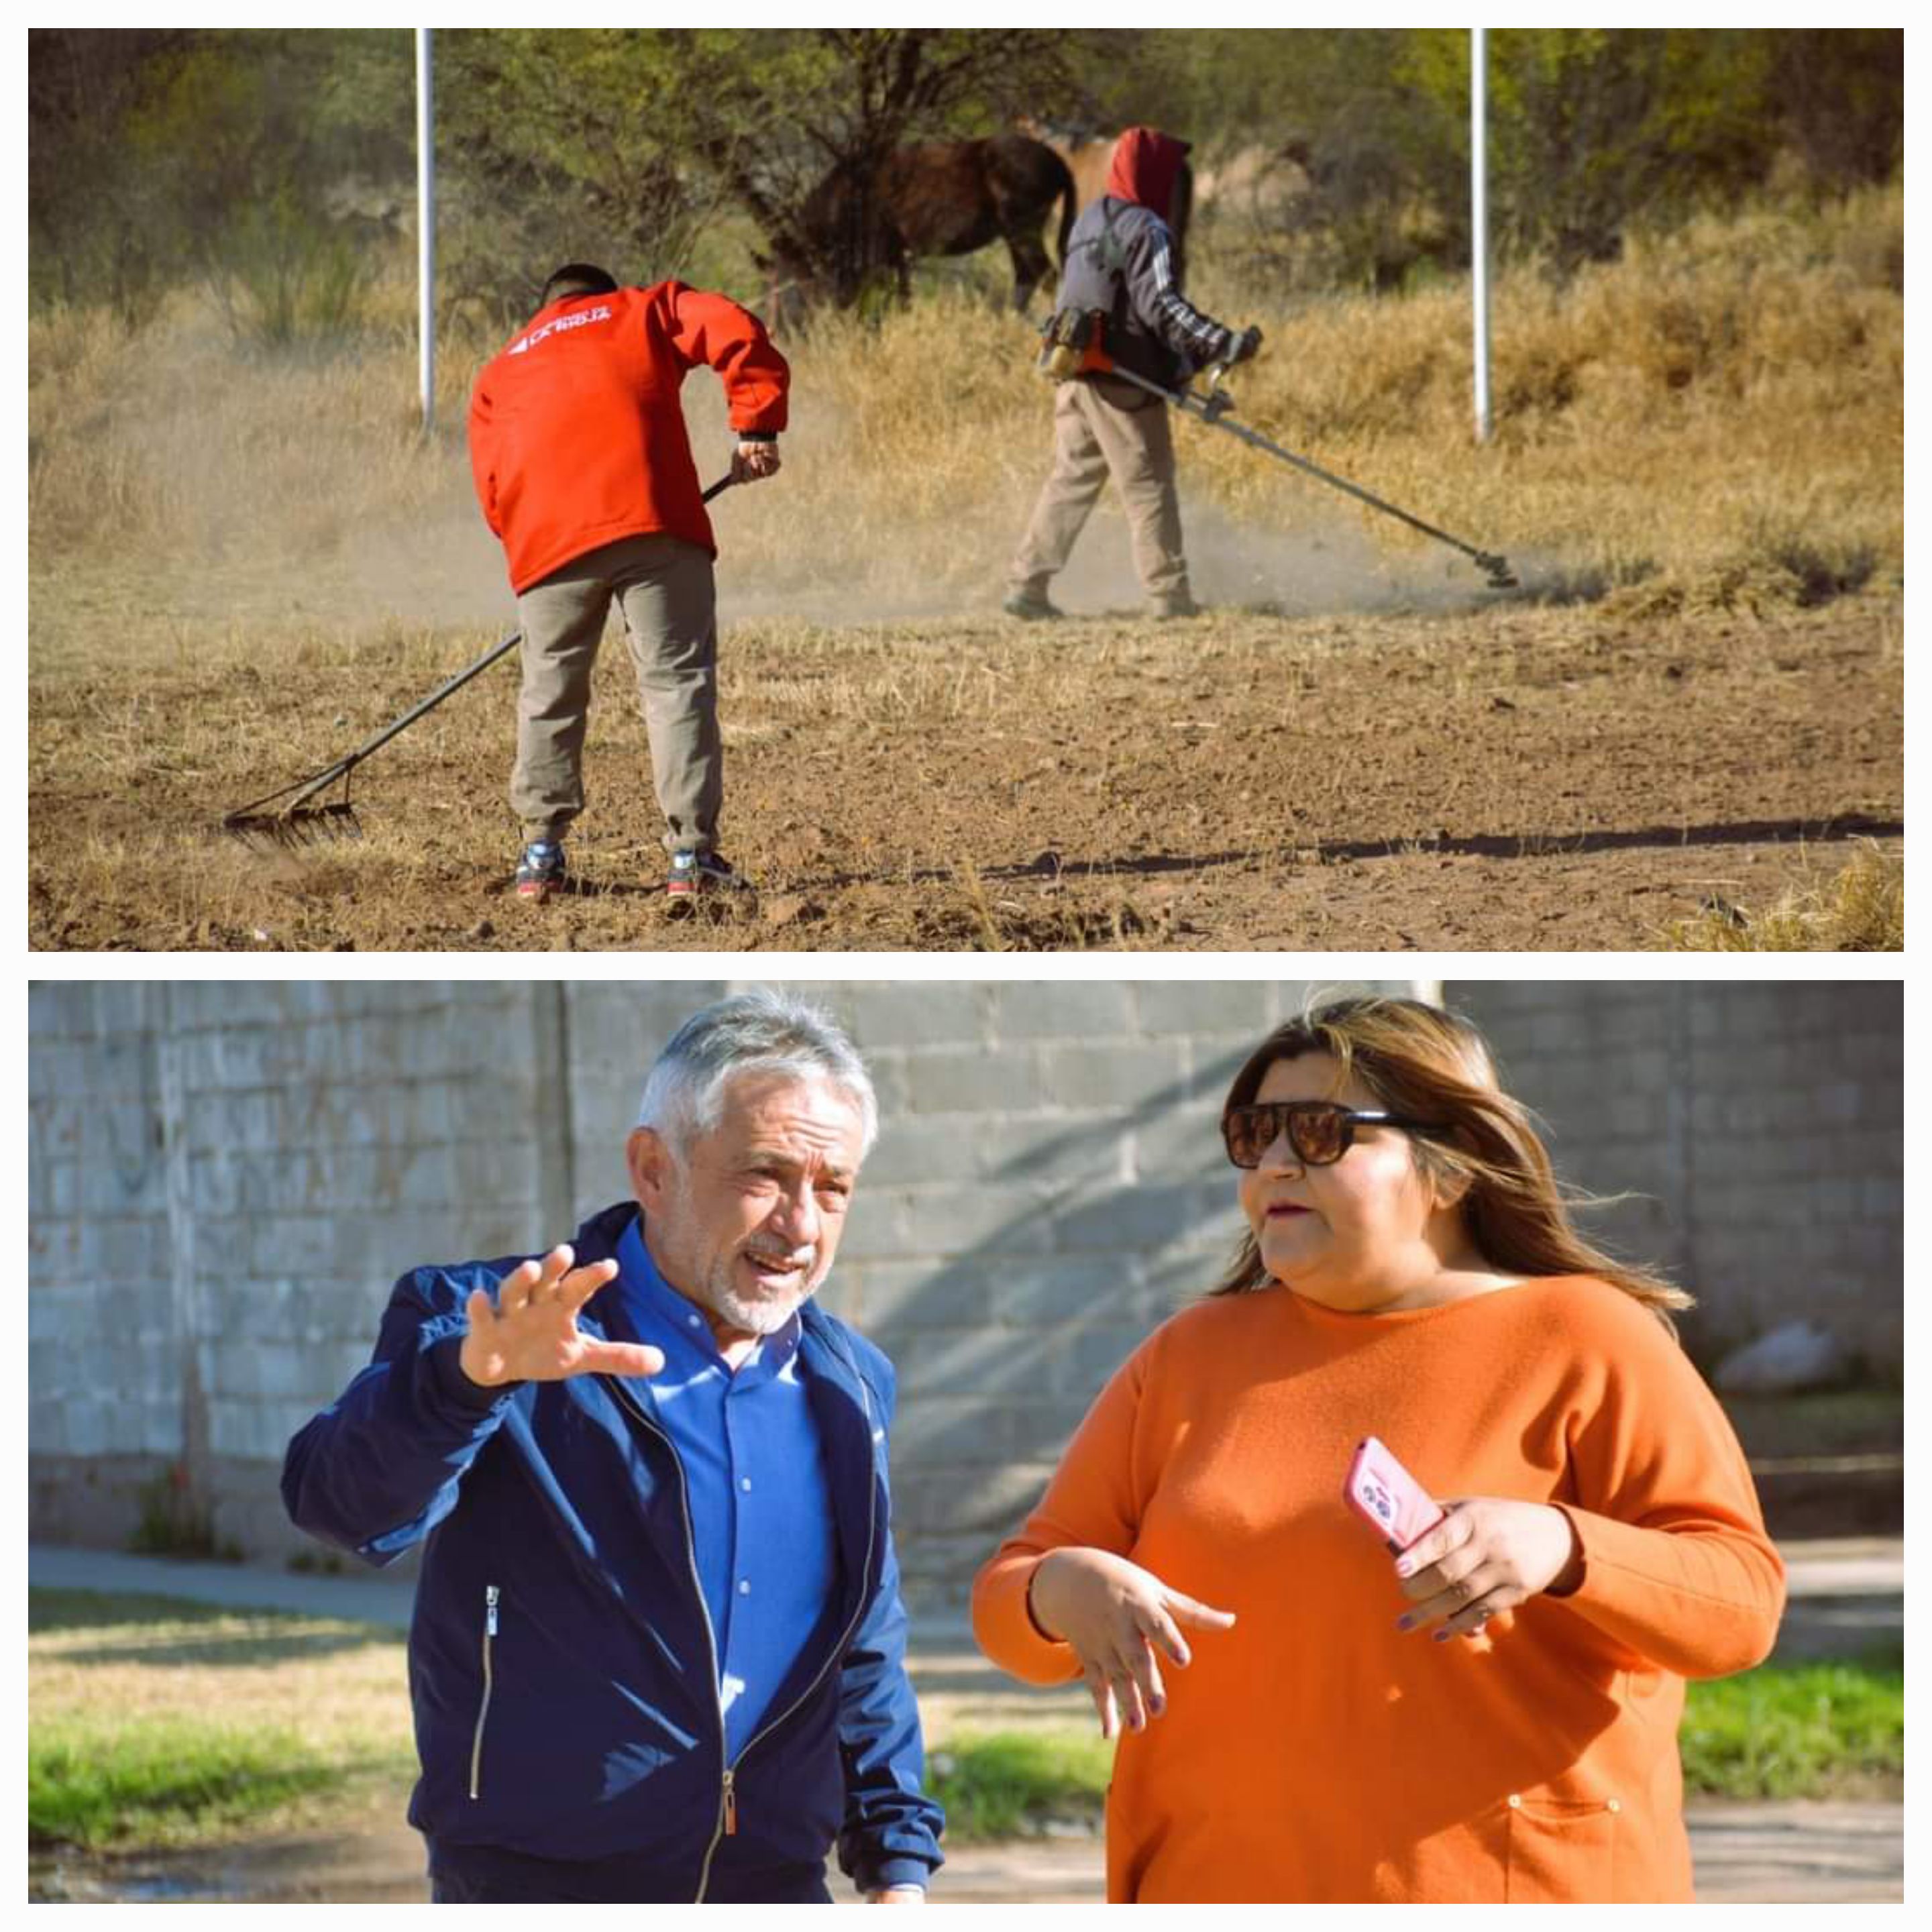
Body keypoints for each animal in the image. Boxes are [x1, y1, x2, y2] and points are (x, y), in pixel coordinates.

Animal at [761, 134, 1081, 321]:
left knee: (1047, 276)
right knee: (1027, 280)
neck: (850, 192)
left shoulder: (878, 258)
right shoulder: (897, 257)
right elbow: (903, 299)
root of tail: (1057, 160)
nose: (779, 325)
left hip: (1023, 231)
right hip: (1014, 236)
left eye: (799, 275)